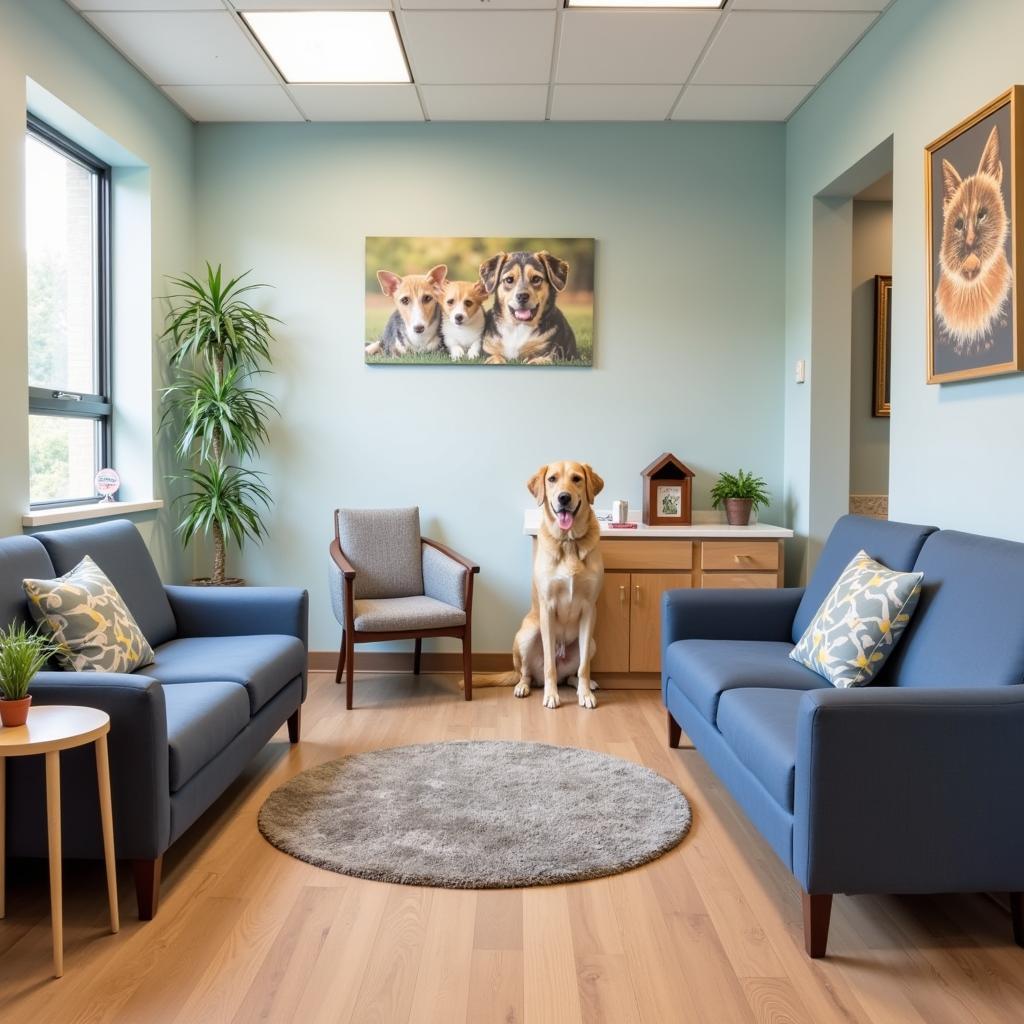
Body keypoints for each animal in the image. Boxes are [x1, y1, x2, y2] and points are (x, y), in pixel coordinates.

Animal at [507, 460, 602, 708]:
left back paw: (584, 686)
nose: (564, 498)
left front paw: (585, 694)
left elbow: (584, 667)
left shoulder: (590, 609)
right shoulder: (547, 608)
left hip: (593, 642)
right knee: (527, 673)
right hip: (528, 633)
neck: (568, 542)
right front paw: (551, 696)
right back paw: (523, 686)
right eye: (552, 479)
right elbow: (549, 664)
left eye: (577, 479)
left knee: (570, 674)